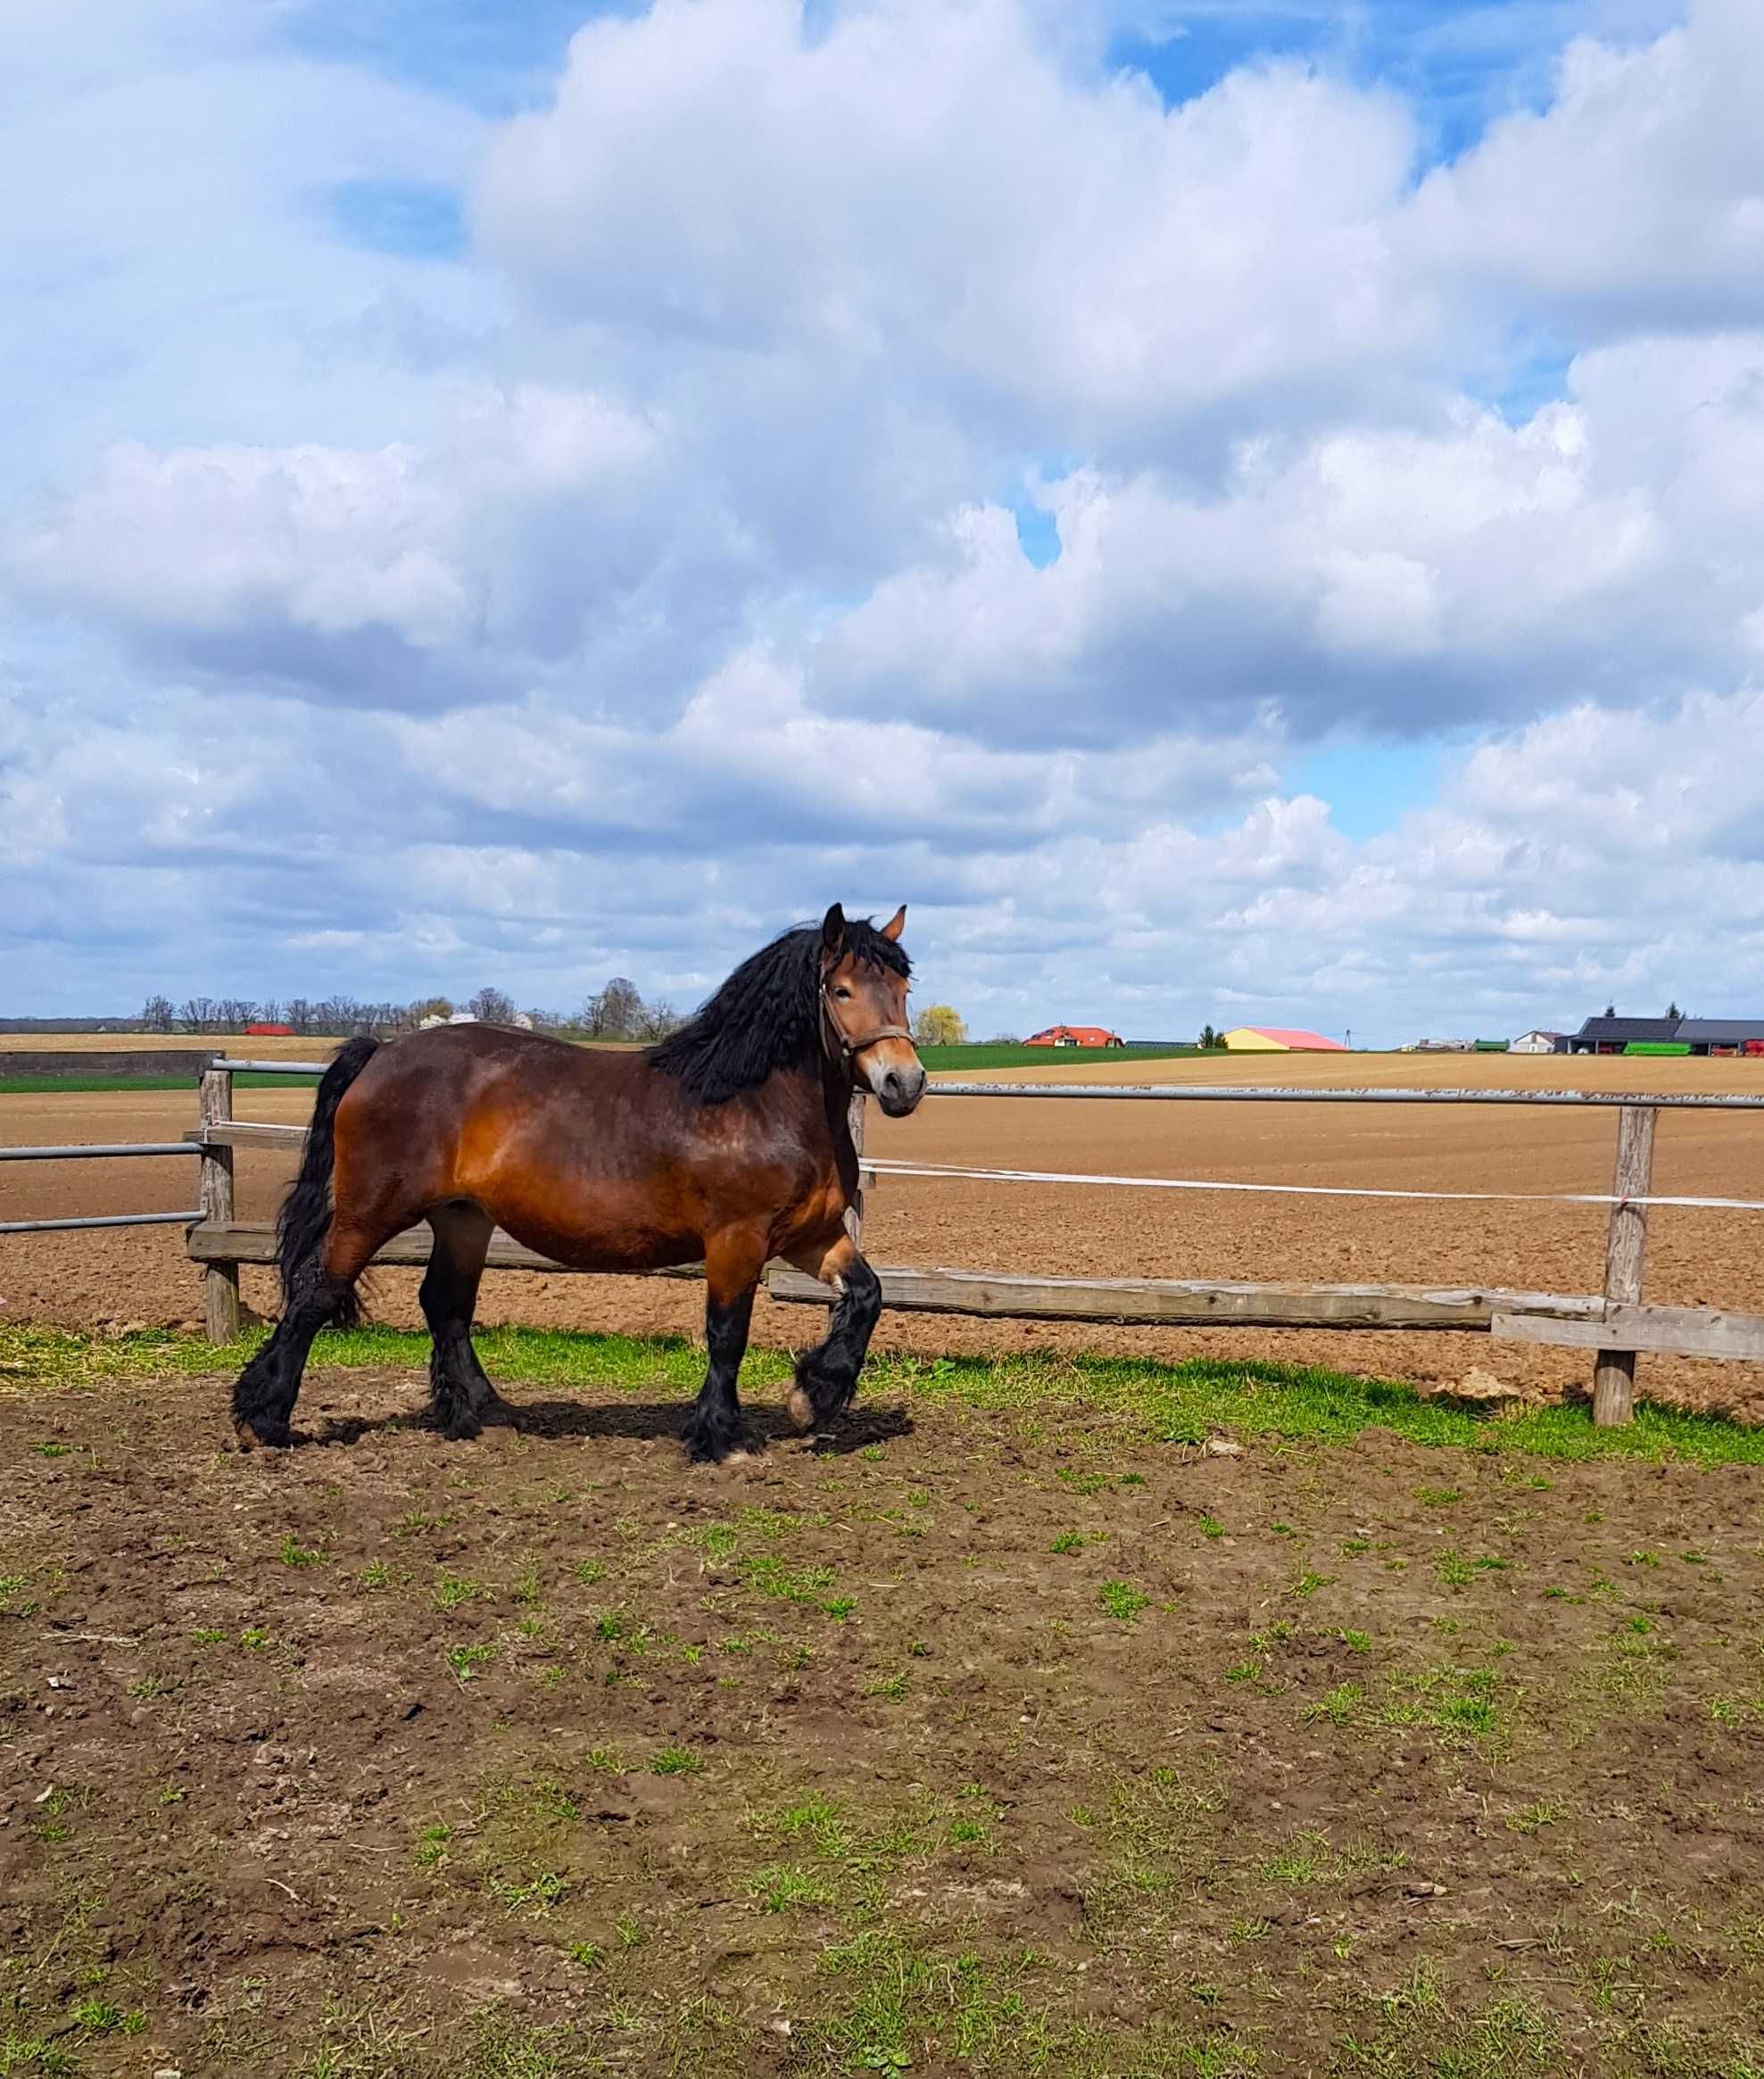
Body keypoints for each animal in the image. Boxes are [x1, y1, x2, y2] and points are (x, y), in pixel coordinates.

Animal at [233, 906, 923, 1463]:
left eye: (902, 987)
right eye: (841, 989)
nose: (904, 1082)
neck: (753, 1103)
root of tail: (380, 1053)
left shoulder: (811, 1237)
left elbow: (868, 1296)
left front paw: (814, 1396)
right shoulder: (736, 1241)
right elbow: (727, 1334)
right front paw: (721, 1436)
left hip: (463, 1217)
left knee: (445, 1305)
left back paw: (480, 1413)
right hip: (371, 1210)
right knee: (318, 1295)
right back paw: (262, 1419)